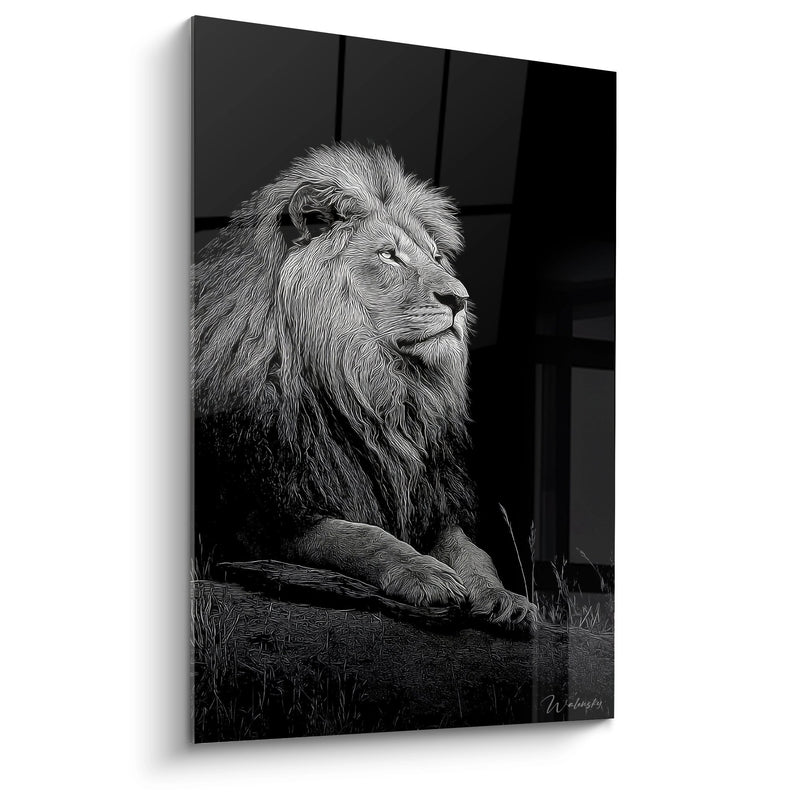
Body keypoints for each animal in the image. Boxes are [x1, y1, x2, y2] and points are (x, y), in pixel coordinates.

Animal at [193, 142, 536, 630]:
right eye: (389, 255)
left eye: (436, 257)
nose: (460, 298)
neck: (377, 394)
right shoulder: (265, 512)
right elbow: (358, 537)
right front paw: (426, 574)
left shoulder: (432, 502)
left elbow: (475, 552)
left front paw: (504, 597)